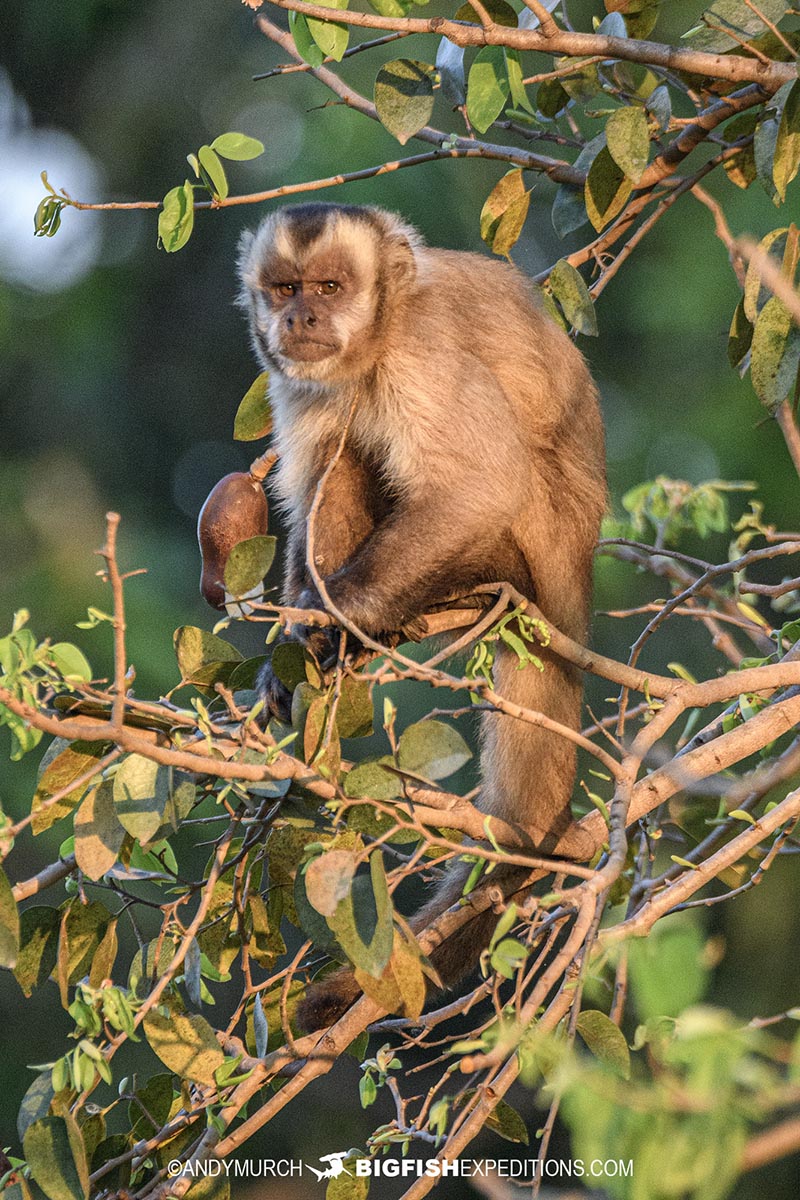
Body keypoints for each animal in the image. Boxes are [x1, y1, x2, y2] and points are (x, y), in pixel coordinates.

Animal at [237, 202, 606, 1029]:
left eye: (331, 287)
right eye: (284, 289)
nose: (302, 317)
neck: (382, 334)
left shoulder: (423, 355)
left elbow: (478, 486)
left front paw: (329, 625)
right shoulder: (301, 381)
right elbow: (315, 485)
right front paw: (296, 646)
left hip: (536, 548)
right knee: (344, 455)